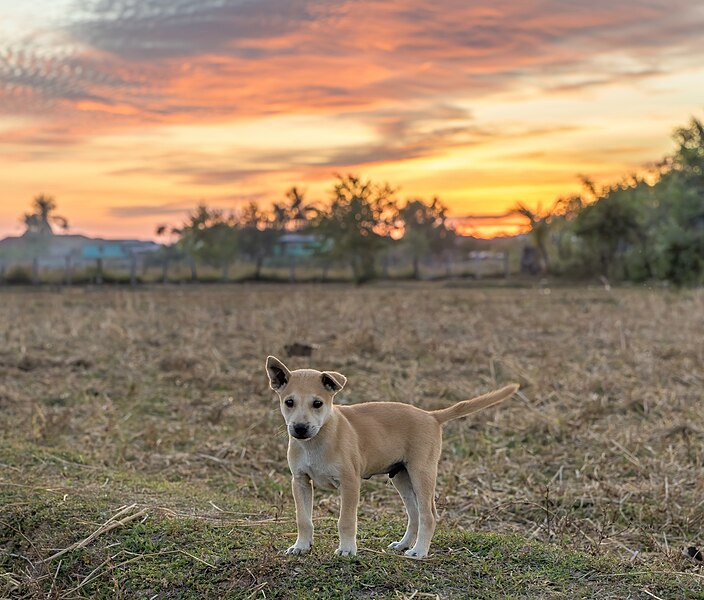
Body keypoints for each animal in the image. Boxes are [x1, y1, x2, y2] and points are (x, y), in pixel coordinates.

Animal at [266, 356, 520, 556]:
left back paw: (419, 551)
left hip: (421, 473)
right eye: (289, 402)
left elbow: (346, 520)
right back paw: (404, 544)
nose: (299, 429)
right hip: (401, 476)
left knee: (428, 515)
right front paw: (301, 546)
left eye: (317, 403)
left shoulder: (350, 483)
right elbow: (303, 519)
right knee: (414, 515)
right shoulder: (300, 481)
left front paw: (347, 549)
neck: (317, 440)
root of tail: (431, 415)